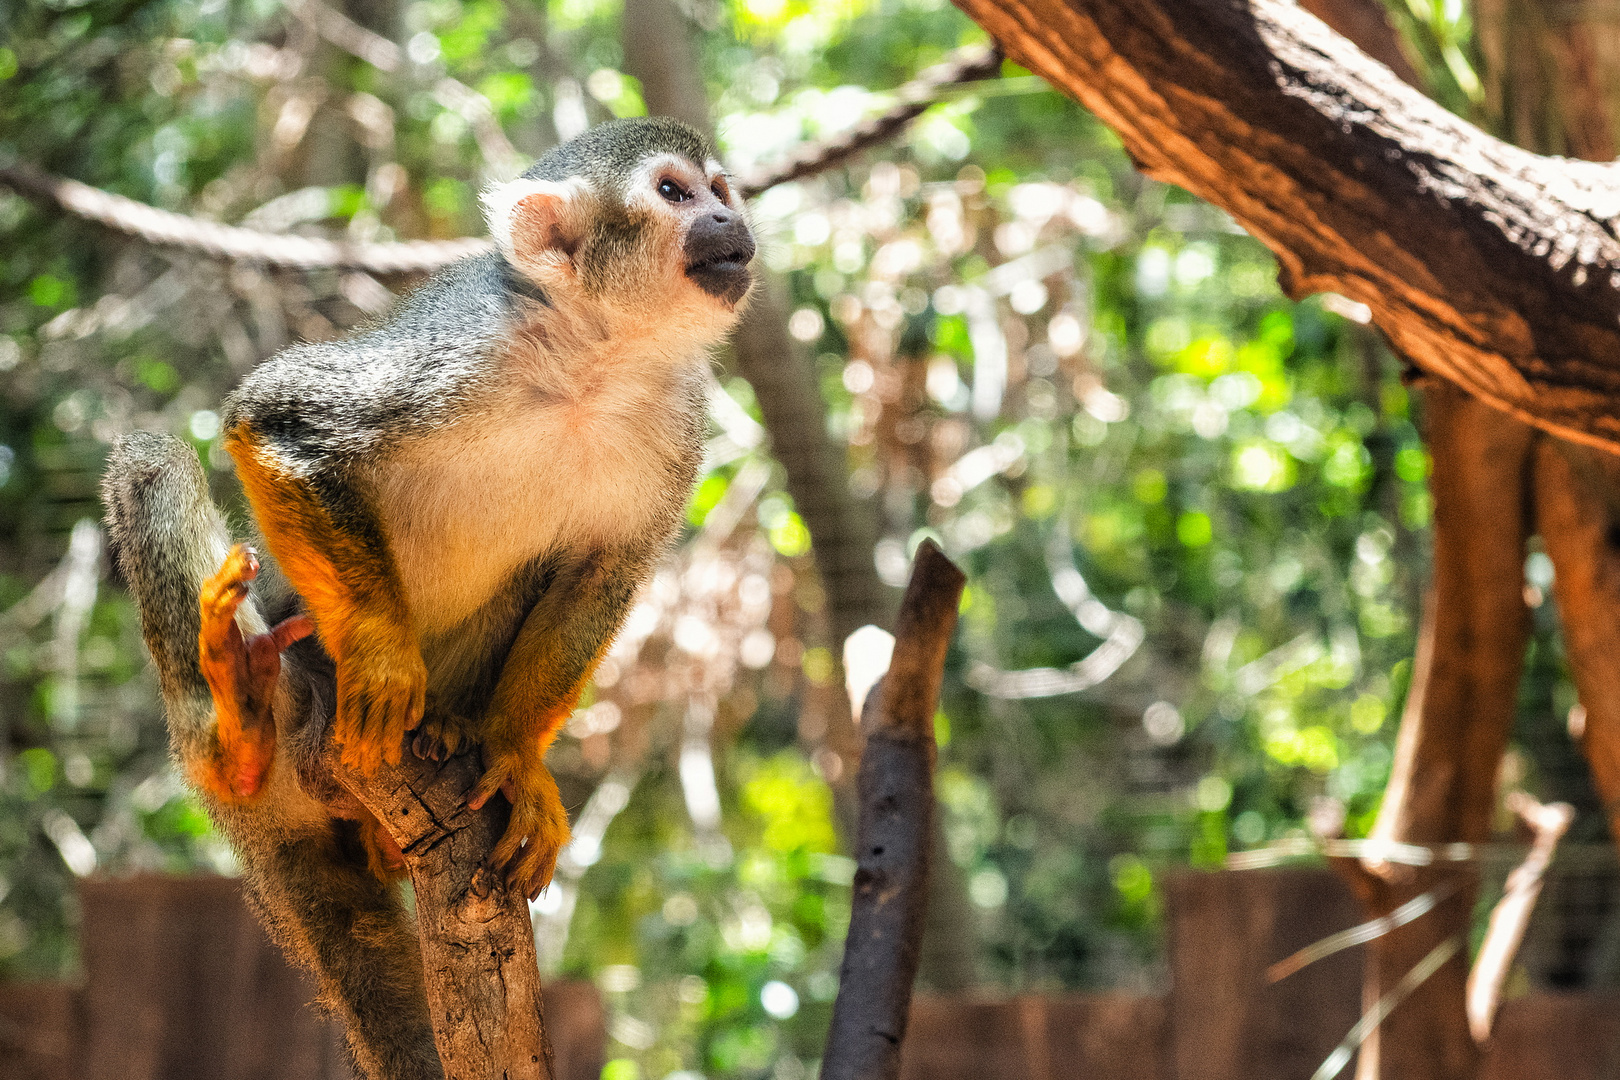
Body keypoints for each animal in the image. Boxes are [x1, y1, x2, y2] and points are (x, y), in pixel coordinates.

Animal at [98, 114, 754, 1075]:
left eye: (722, 190)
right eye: (674, 193)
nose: (728, 222)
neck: (591, 357)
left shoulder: (675, 421)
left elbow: (602, 570)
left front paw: (513, 755)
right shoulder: (460, 346)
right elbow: (278, 416)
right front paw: (380, 658)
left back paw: (443, 737)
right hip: (280, 716)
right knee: (153, 460)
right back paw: (241, 716)